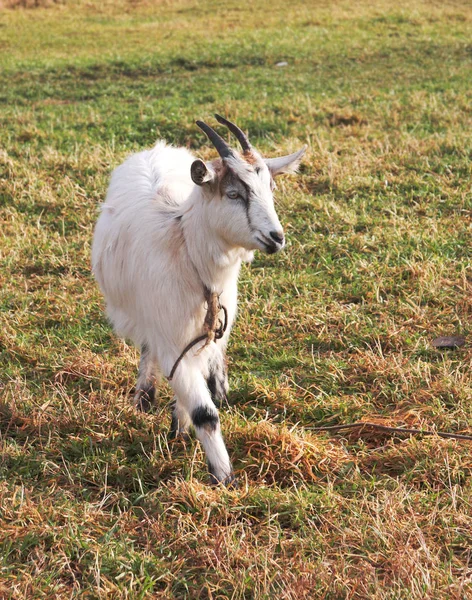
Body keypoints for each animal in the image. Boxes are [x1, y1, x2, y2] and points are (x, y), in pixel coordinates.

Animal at [92, 115, 306, 486]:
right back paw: (144, 395)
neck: (186, 251)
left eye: (271, 190)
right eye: (234, 194)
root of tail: (157, 148)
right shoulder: (169, 333)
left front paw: (181, 426)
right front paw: (224, 476)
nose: (276, 237)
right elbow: (205, 411)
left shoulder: (203, 331)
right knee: (147, 346)